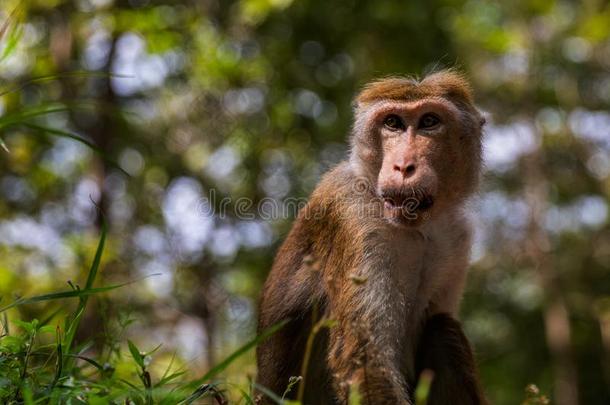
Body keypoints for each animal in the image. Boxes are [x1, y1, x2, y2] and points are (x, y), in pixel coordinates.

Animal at [254, 70, 486, 404]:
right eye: (393, 123)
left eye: (429, 121)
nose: (403, 166)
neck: (417, 230)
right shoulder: (352, 215)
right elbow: (364, 361)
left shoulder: (457, 235)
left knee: (443, 330)